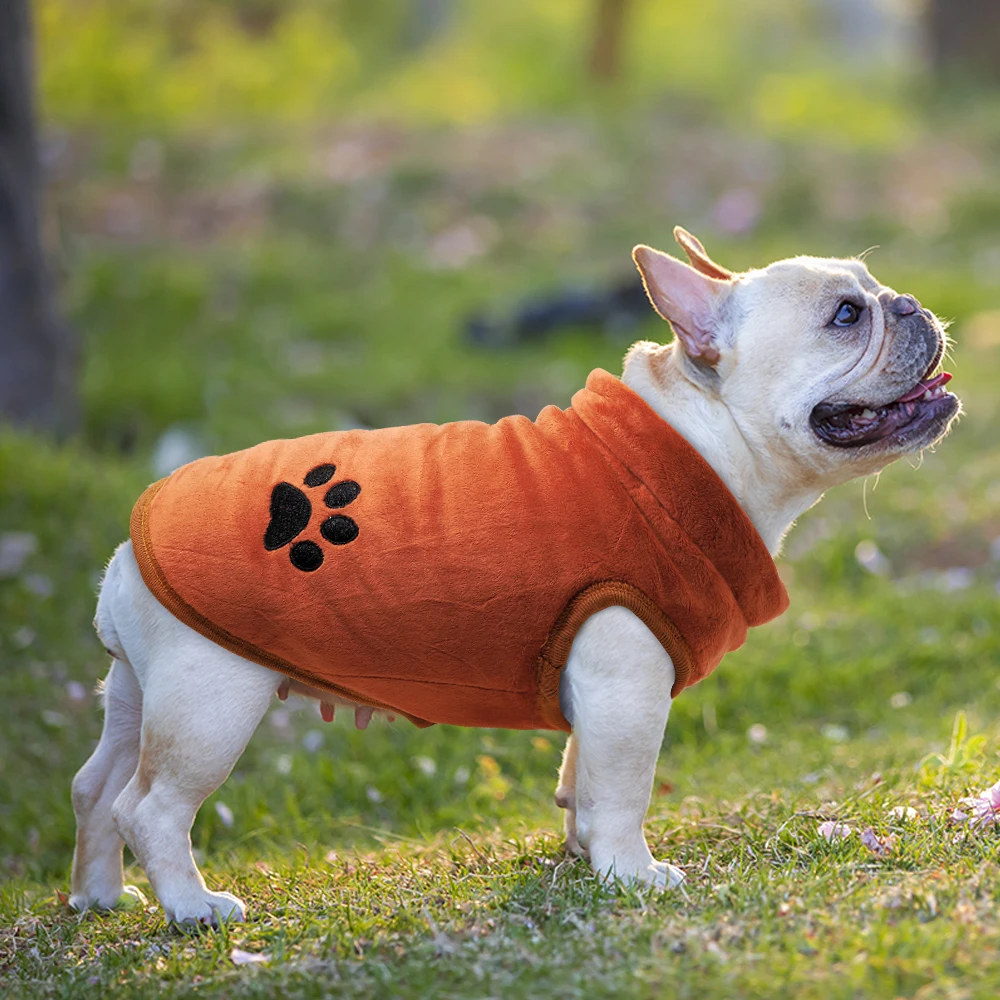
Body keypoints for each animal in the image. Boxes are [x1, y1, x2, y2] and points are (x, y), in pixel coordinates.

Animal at [70, 227, 960, 920]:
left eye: (875, 294)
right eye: (845, 316)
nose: (910, 303)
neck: (700, 440)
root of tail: (125, 552)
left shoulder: (600, 688)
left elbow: (583, 778)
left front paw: (584, 857)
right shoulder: (628, 681)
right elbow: (623, 786)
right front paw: (632, 874)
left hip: (142, 695)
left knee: (95, 787)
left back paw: (100, 896)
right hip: (210, 702)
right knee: (149, 806)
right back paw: (194, 907)